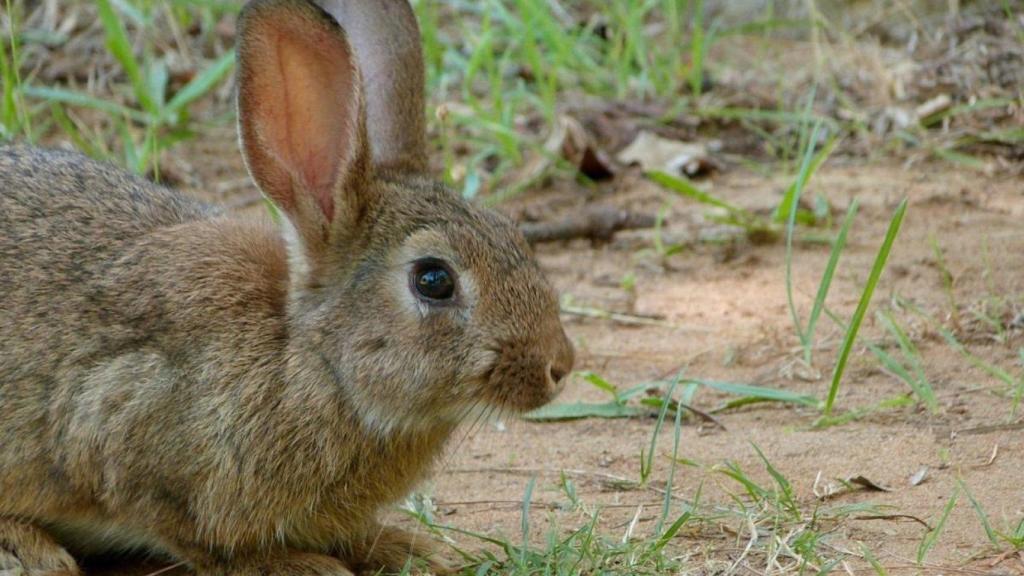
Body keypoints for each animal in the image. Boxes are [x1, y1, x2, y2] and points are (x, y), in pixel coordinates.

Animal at [0, 0, 575, 574]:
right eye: (433, 280)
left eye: (511, 232)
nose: (560, 365)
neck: (313, 360)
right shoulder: (119, 425)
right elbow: (197, 538)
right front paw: (302, 565)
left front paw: (408, 548)